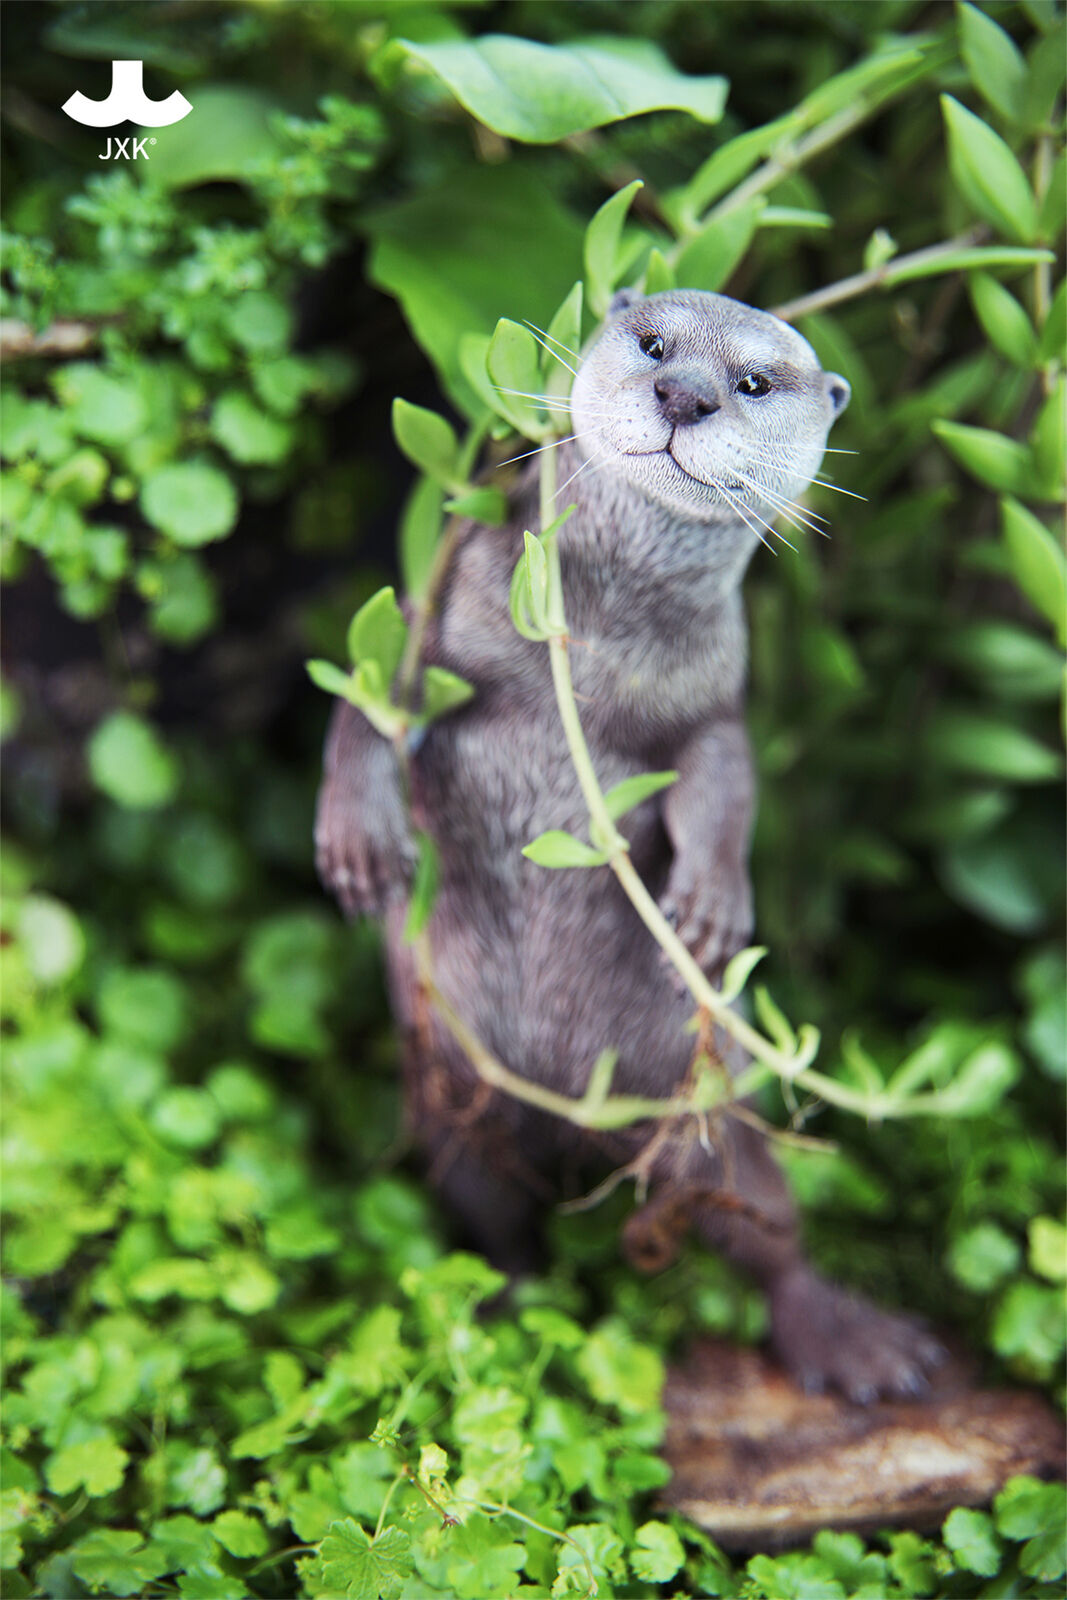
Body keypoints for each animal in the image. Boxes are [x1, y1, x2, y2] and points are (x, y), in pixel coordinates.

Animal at [316, 289, 942, 1401]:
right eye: (653, 343)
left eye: (751, 380)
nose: (684, 394)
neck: (596, 649)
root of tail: (580, 1126)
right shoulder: (437, 626)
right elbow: (368, 703)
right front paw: (358, 843)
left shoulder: (714, 700)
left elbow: (725, 779)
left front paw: (709, 907)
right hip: (450, 1109)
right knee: (492, 1214)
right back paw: (498, 1322)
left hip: (708, 1130)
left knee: (765, 1230)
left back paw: (856, 1345)